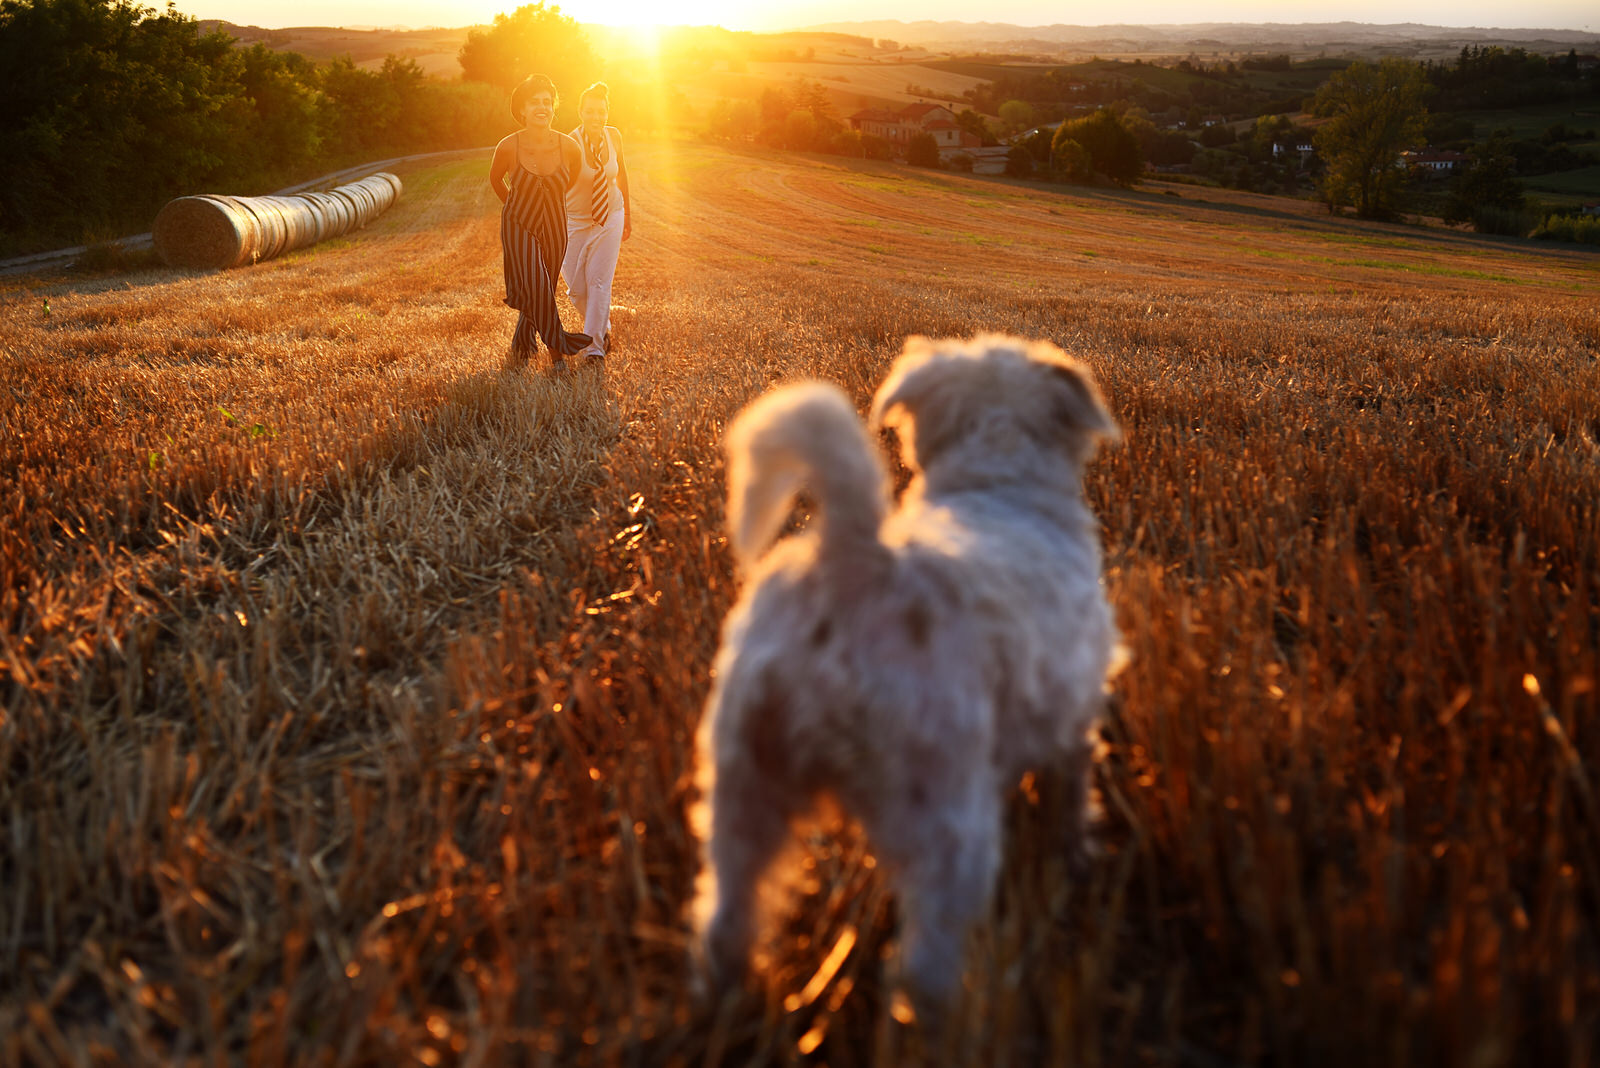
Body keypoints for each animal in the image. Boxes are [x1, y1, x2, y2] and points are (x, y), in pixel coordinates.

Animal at [691, 335, 1126, 1016]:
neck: (995, 486)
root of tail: (855, 565)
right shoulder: (1072, 723)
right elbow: (1070, 801)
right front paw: (1078, 858)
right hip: (947, 818)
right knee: (924, 961)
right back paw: (948, 1015)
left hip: (745, 781)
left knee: (727, 914)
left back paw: (724, 1000)